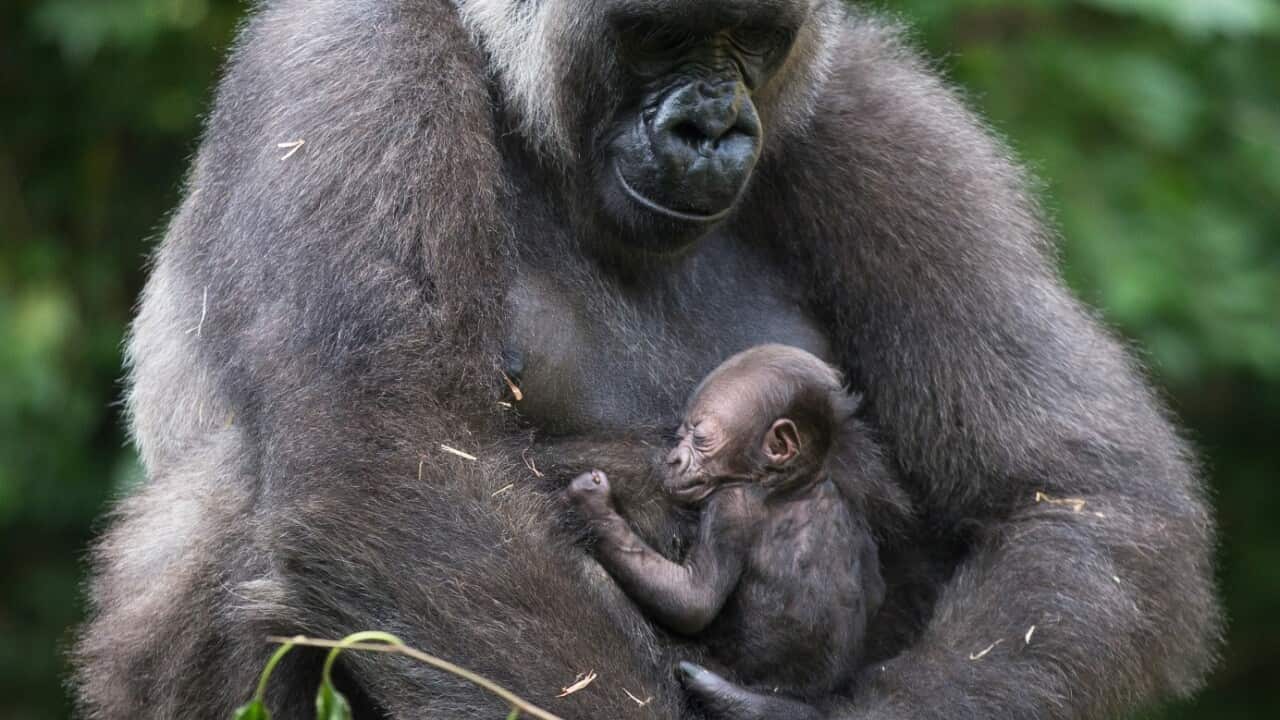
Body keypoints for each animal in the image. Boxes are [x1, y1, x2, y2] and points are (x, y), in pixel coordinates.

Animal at [566, 345, 891, 718]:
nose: (674, 458)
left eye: (699, 437)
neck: (797, 482)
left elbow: (693, 600)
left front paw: (594, 506)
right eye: (681, 435)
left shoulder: (730, 504)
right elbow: (876, 588)